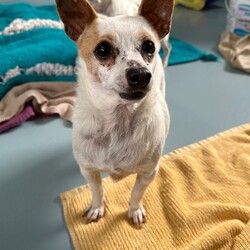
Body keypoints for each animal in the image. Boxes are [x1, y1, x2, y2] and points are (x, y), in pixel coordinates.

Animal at [56, 0, 174, 227]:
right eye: (102, 49)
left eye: (149, 46)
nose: (141, 74)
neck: (119, 119)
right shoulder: (88, 169)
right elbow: (97, 190)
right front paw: (97, 208)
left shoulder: (148, 173)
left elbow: (136, 193)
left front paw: (134, 211)